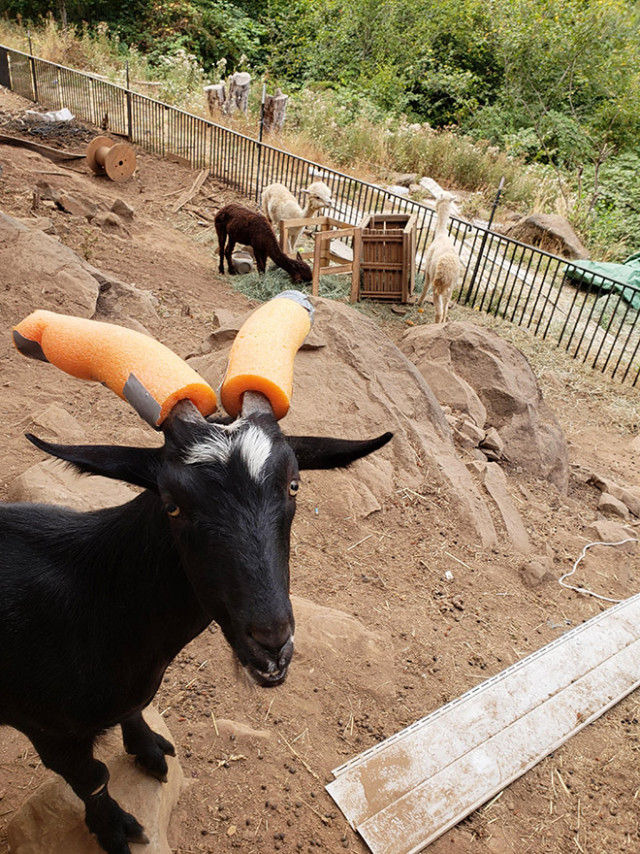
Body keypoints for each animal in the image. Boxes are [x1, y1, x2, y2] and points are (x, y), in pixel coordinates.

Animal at [0, 394, 390, 854]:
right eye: (172, 504)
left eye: (293, 485)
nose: (272, 644)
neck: (92, 601)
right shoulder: (47, 729)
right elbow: (92, 779)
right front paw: (114, 829)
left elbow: (136, 711)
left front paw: (149, 751)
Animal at [418, 192, 462, 322]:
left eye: (438, 197)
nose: (435, 205)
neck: (441, 234)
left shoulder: (427, 269)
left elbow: (425, 285)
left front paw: (419, 302)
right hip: (450, 287)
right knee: (445, 309)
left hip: (436, 284)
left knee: (439, 311)